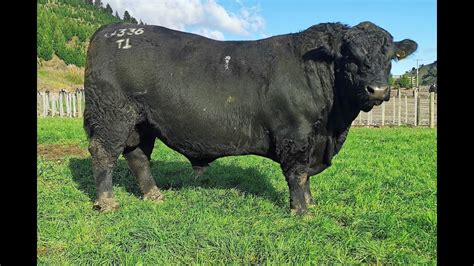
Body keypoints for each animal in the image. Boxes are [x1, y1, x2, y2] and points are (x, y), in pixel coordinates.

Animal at [83, 21, 416, 215]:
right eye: (349, 55)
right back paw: (108, 203)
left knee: (138, 156)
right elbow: (298, 175)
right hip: (112, 116)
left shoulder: (312, 140)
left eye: (389, 58)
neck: (332, 129)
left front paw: (311, 203)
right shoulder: (295, 136)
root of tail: (109, 31)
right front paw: (301, 212)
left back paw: (154, 196)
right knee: (104, 155)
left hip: (142, 123)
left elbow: (306, 177)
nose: (378, 89)